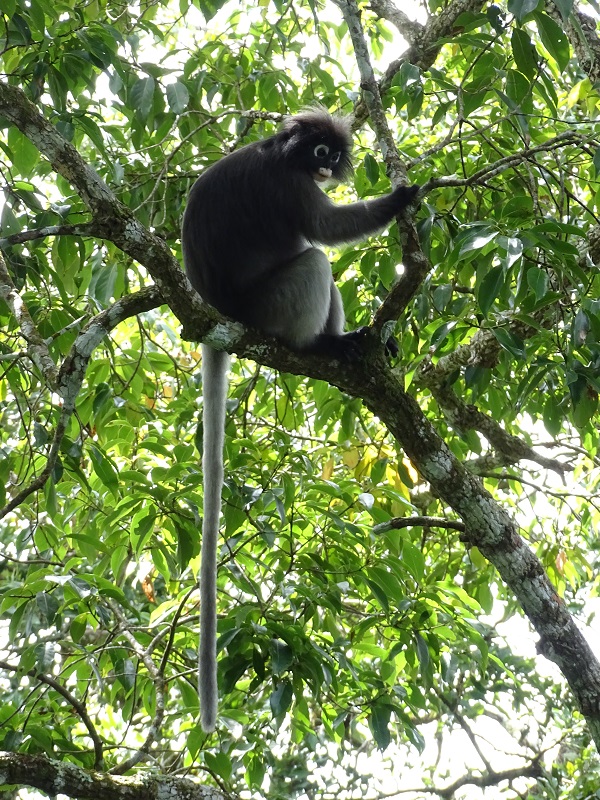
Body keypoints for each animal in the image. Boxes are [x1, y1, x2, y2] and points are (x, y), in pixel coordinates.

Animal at [181, 108, 419, 731]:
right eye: (318, 153)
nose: (328, 167)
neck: (280, 154)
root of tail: (216, 316)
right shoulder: (289, 187)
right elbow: (327, 230)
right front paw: (406, 195)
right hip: (270, 308)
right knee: (315, 260)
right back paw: (325, 347)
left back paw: (354, 344)